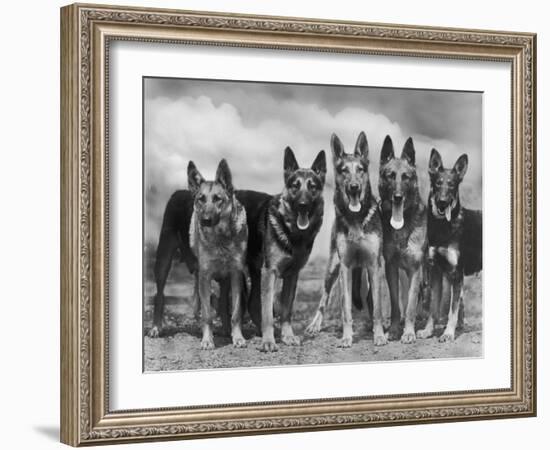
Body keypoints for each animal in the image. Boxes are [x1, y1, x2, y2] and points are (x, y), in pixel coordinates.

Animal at [190, 160, 250, 350]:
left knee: (224, 306)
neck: (221, 239)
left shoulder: (236, 275)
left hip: (226, 282)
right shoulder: (205, 276)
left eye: (218, 198)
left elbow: (236, 312)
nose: (205, 220)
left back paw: (226, 329)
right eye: (201, 199)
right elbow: (207, 314)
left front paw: (237, 338)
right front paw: (207, 340)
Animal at [250, 148, 328, 352]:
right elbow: (268, 313)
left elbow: (286, 310)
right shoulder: (270, 273)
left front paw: (287, 336)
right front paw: (268, 341)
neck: (293, 234)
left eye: (312, 187)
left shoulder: (293, 275)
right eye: (295, 186)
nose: (302, 204)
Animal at [304, 132, 386, 346]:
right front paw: (347, 337)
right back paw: (315, 325)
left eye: (360, 170)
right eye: (344, 171)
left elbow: (377, 308)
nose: (354, 187)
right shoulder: (345, 267)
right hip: (333, 268)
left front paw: (379, 334)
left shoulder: (374, 265)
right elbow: (345, 308)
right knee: (324, 299)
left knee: (369, 301)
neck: (356, 217)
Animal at [380, 135, 432, 342]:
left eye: (406, 177)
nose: (398, 197)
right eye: (390, 176)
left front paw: (408, 333)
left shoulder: (416, 270)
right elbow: (396, 304)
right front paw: (395, 330)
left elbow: (410, 305)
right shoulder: (392, 268)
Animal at [418, 149, 484, 342]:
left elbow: (452, 311)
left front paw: (448, 333)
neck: (443, 228)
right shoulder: (436, 271)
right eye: (438, 183)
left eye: (452, 185)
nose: (442, 202)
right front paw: (428, 330)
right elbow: (433, 308)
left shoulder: (456, 274)